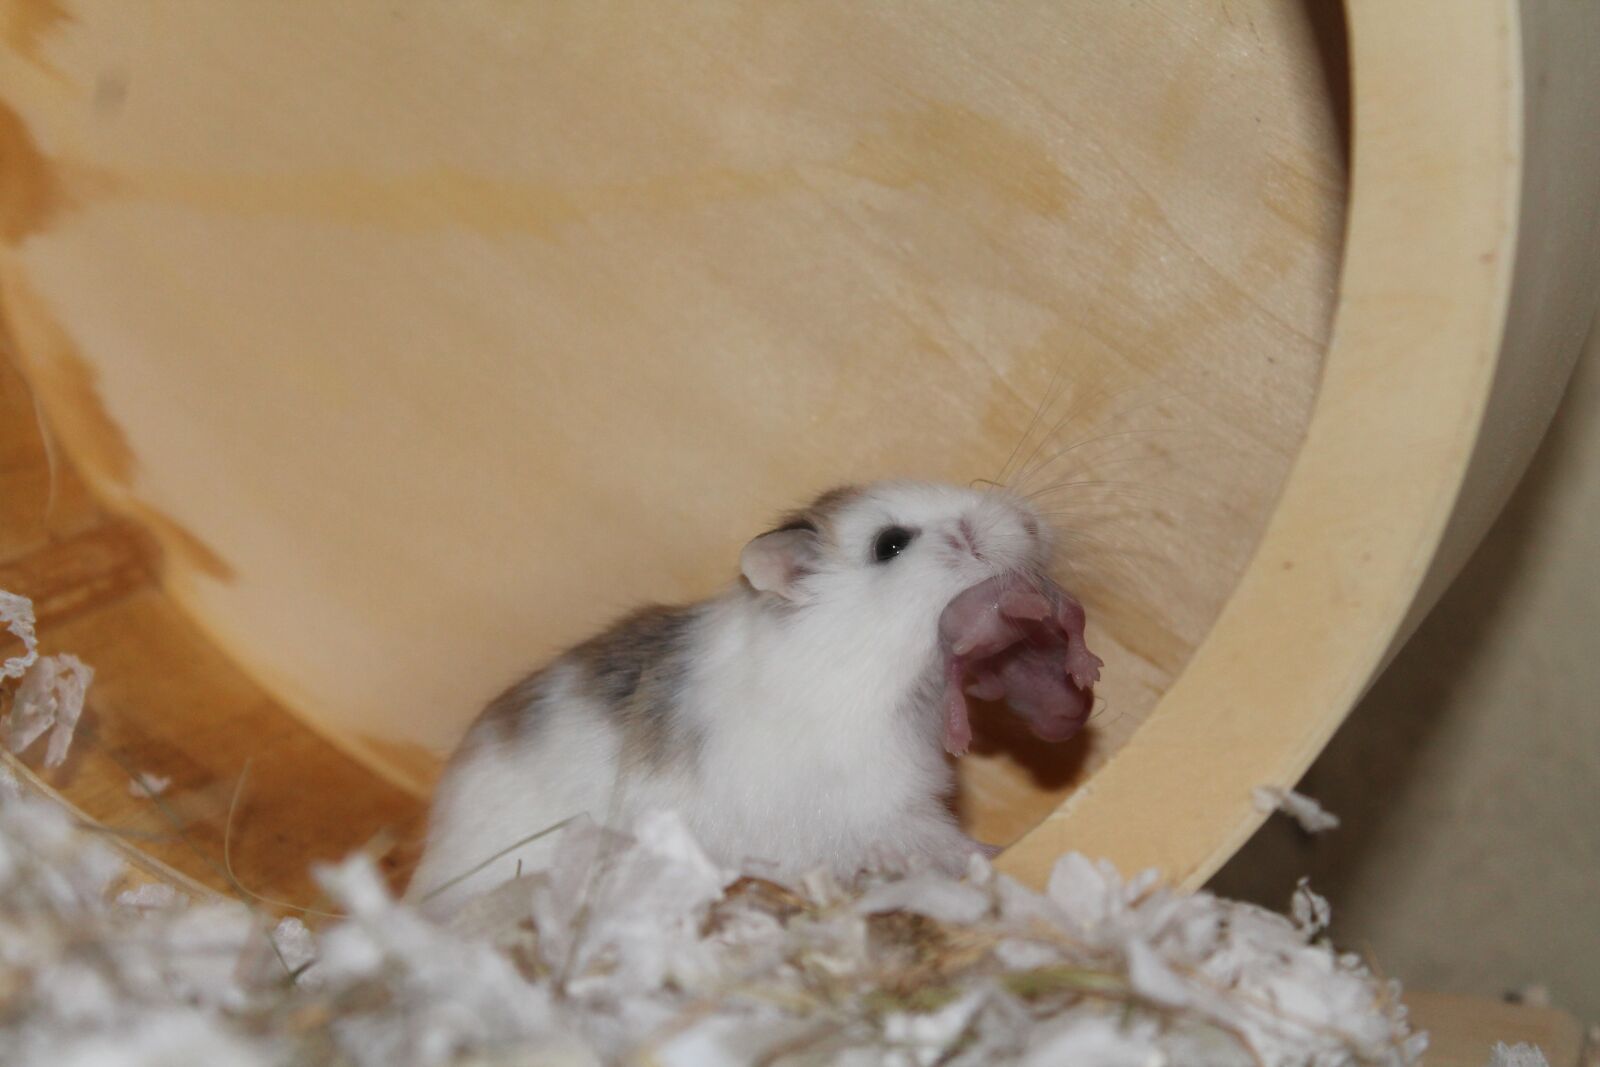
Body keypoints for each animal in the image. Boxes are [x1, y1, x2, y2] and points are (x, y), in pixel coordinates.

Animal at [407, 481, 1101, 912]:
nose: (1030, 523)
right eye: (890, 544)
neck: (860, 661)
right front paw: (993, 856)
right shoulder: (884, 806)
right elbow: (940, 843)